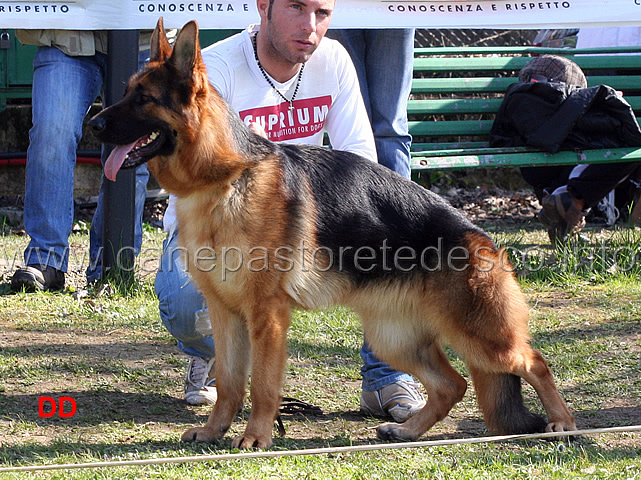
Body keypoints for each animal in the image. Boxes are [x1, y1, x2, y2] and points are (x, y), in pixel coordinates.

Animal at [89, 16, 576, 448]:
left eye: (143, 99)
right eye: (127, 92)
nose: (93, 126)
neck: (224, 177)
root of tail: (478, 235)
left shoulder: (267, 316)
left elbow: (262, 385)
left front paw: (255, 437)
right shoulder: (225, 314)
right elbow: (228, 382)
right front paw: (213, 432)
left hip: (480, 338)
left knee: (534, 361)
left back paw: (563, 424)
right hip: (394, 338)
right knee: (452, 384)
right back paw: (408, 431)